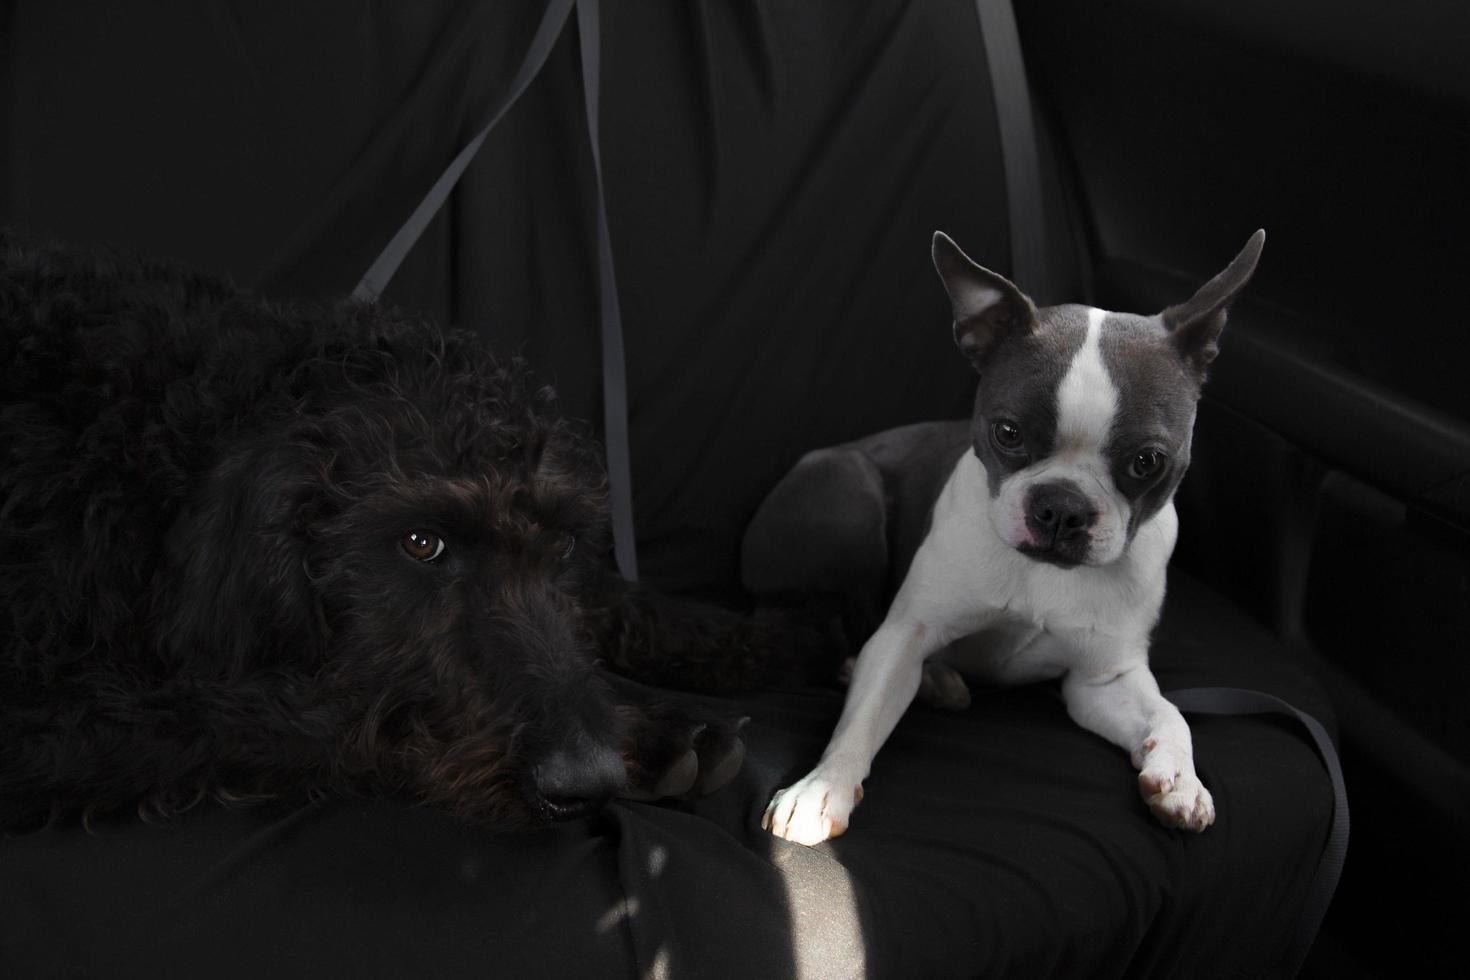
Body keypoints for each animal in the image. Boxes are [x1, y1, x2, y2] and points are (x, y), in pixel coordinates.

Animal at [0, 233, 823, 834]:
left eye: (561, 546)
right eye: (421, 544)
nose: (584, 779)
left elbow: (616, 597)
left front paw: (774, 637)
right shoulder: (55, 721)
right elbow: (321, 715)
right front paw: (653, 732)